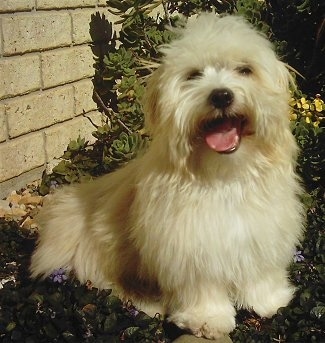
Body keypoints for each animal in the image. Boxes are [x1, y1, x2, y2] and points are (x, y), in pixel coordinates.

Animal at [30, 12, 304, 338]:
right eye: (194, 75)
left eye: (244, 70)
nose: (221, 96)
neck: (224, 176)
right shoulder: (189, 248)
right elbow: (203, 288)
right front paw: (208, 319)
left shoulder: (261, 234)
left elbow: (260, 273)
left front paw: (270, 301)